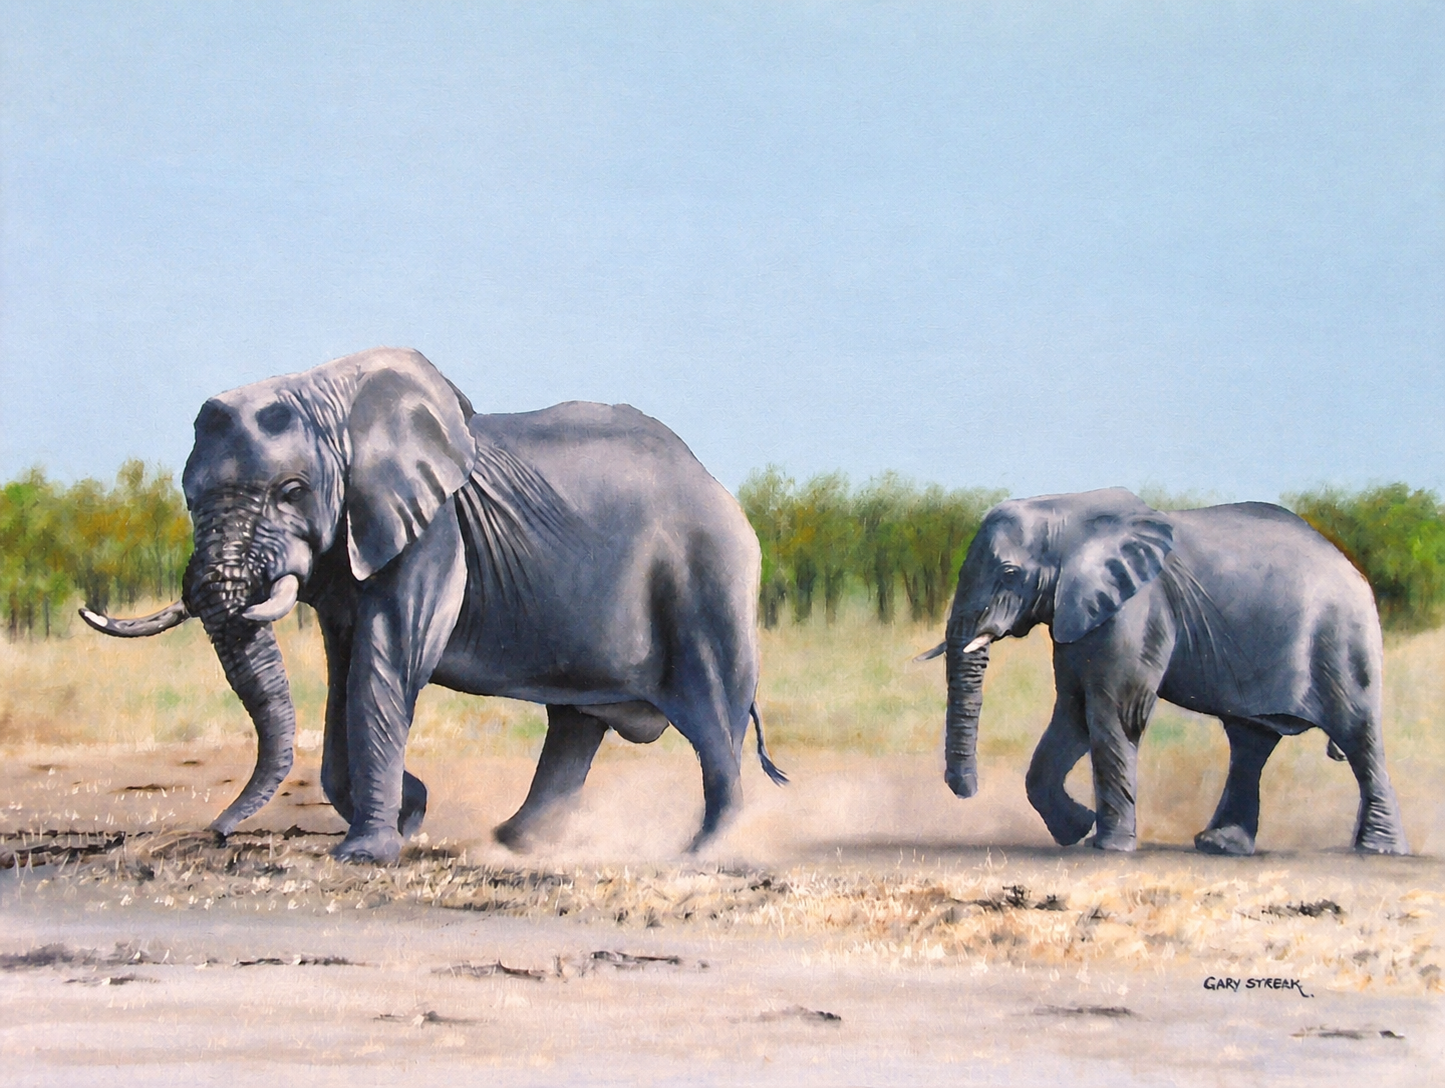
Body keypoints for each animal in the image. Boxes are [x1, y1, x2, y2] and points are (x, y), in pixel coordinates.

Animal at [81, 347, 785, 863]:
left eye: (291, 491)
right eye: (189, 497)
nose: (216, 832)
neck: (332, 399)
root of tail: (721, 488)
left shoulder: (434, 531)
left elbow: (386, 659)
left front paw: (368, 851)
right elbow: (346, 671)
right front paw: (409, 814)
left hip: (706, 582)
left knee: (709, 720)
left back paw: (697, 854)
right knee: (576, 725)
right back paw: (512, 842)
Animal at [918, 488, 1408, 856]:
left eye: (1009, 572)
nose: (968, 791)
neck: (1064, 509)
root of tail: (1351, 565)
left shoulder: (1137, 608)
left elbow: (1113, 712)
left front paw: (1108, 846)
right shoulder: (1079, 613)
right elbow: (1074, 712)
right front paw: (1077, 830)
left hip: (1341, 637)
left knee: (1357, 733)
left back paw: (1379, 849)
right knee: (1251, 742)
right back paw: (1219, 846)